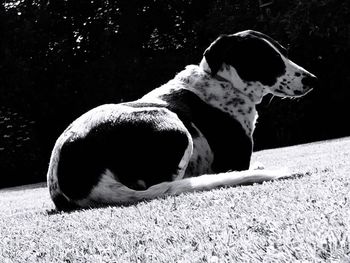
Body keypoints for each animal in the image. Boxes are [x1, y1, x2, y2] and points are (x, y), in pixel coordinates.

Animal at [46, 29, 318, 210]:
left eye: (284, 52)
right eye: (267, 58)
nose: (312, 79)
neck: (223, 82)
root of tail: (86, 185)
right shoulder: (234, 158)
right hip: (171, 123)